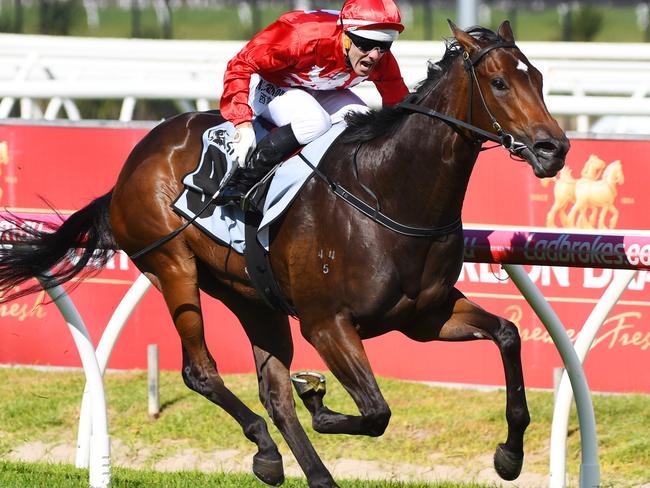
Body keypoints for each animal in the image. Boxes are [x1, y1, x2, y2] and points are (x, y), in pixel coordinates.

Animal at [0, 21, 564, 488]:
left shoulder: (425, 315)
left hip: (252, 295)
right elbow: (375, 411)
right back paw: (268, 449)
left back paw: (300, 468)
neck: (388, 191)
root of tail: (132, 164)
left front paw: (509, 456)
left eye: (538, 78)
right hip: (172, 266)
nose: (553, 149)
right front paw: (318, 397)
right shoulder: (327, 323)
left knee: (272, 391)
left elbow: (508, 335)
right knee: (201, 371)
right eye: (499, 83)